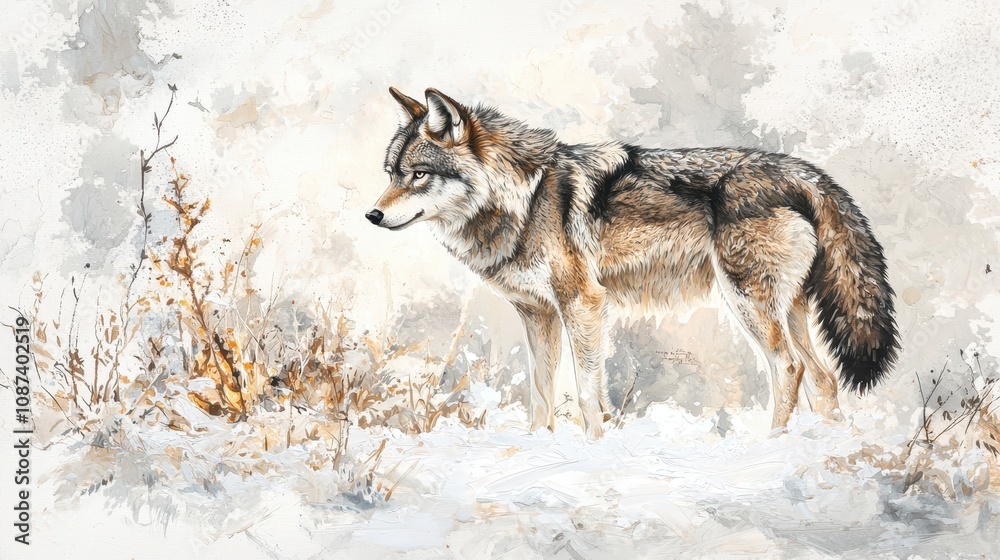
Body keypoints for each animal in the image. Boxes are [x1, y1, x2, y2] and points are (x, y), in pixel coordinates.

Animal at [366, 87, 899, 438]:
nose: (371, 215)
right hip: (786, 310)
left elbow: (587, 393)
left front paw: (593, 450)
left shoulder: (582, 303)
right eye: (391, 173)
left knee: (789, 368)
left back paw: (770, 447)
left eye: (418, 174)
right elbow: (540, 395)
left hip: (747, 303)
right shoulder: (538, 314)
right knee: (825, 377)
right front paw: (536, 450)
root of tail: (807, 173)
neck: (523, 198)